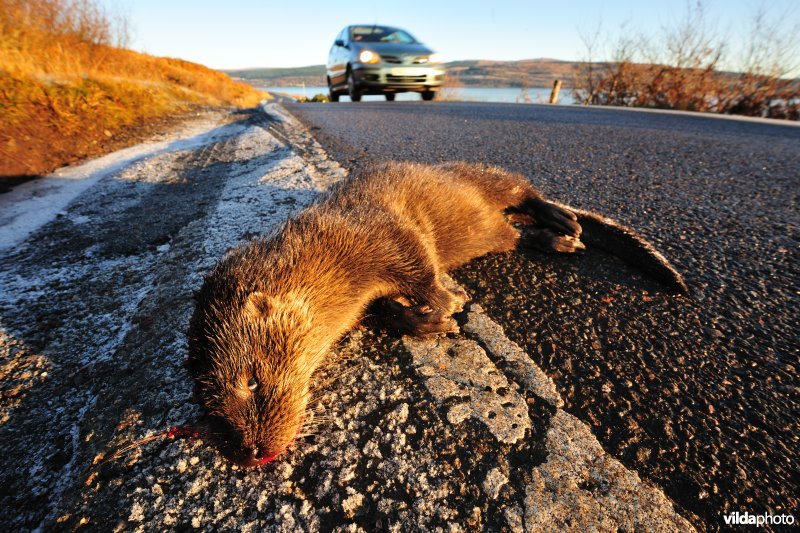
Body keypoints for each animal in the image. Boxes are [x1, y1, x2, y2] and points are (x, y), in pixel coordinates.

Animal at [186, 161, 680, 466]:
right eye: (213, 409)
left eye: (252, 382)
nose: (251, 452)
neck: (331, 252)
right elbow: (391, 309)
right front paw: (431, 319)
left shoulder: (385, 232)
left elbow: (421, 267)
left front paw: (449, 300)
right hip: (498, 227)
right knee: (516, 231)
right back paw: (558, 238)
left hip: (481, 175)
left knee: (525, 191)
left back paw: (563, 220)